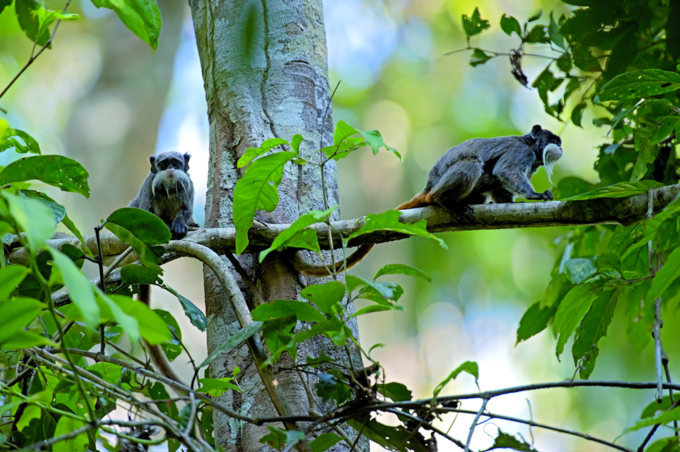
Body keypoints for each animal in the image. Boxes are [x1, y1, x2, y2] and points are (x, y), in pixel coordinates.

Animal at [292, 125, 564, 278]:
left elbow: (500, 189)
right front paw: (536, 196)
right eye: (555, 141)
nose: (561, 148)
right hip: (442, 185)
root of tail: (429, 186)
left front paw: (513, 204)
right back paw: (444, 201)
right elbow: (504, 171)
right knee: (473, 165)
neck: (529, 145)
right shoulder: (520, 153)